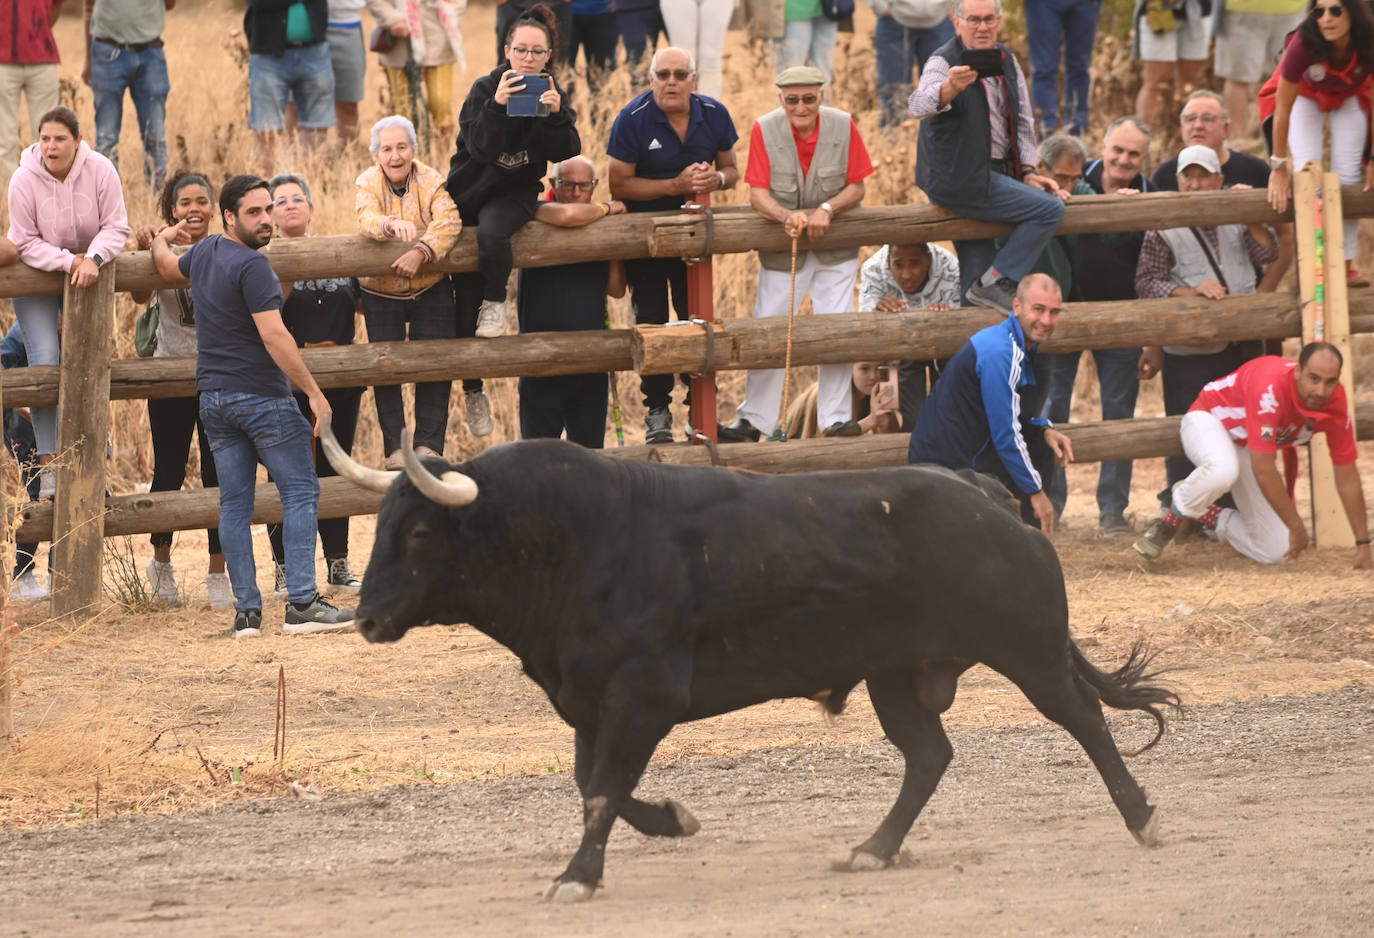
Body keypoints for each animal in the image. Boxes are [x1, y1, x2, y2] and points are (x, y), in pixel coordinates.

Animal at [324, 433, 1181, 900]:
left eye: (420, 533)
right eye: (383, 523)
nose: (365, 618)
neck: (574, 540)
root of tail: (989, 496)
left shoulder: (641, 695)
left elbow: (601, 789)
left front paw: (578, 875)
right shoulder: (588, 699)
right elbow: (593, 783)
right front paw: (672, 820)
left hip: (1027, 650)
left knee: (1082, 717)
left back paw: (1142, 817)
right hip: (897, 676)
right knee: (930, 755)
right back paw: (874, 848)